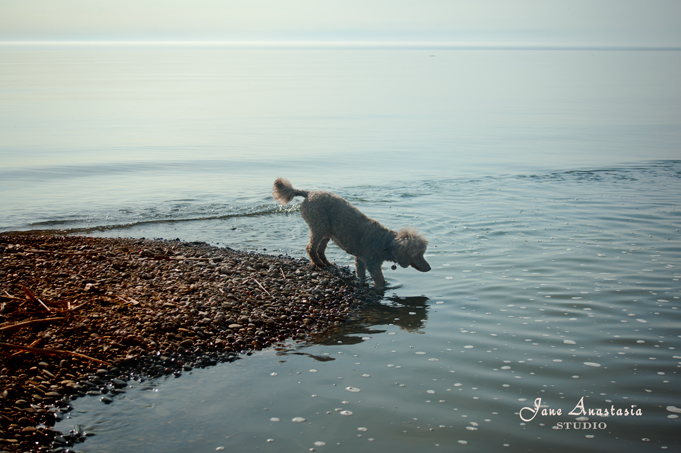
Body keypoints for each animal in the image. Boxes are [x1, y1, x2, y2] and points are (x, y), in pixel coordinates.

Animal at [272, 177, 428, 286]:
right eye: (418, 254)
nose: (429, 268)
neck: (384, 242)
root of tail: (308, 193)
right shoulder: (372, 263)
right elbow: (380, 280)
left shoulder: (360, 259)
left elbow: (361, 275)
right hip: (318, 227)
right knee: (311, 247)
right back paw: (318, 263)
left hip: (327, 232)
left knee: (320, 249)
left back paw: (327, 263)